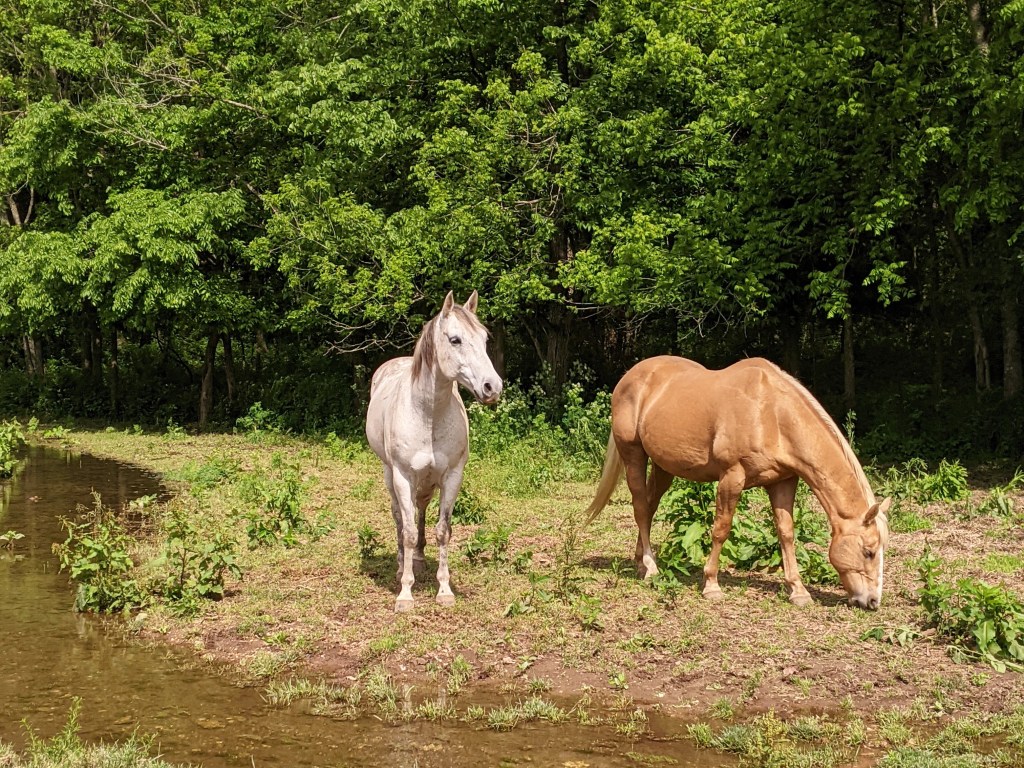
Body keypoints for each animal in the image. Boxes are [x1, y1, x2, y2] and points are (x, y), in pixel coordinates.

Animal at [365, 291, 502, 612]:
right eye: (455, 340)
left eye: (484, 339)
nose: (493, 387)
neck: (427, 414)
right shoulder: (403, 476)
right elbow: (407, 530)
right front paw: (405, 593)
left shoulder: (452, 476)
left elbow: (443, 530)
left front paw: (444, 590)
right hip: (390, 474)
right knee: (399, 517)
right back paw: (401, 564)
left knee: (421, 509)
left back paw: (417, 558)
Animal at [584, 356, 890, 610]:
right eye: (869, 551)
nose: (872, 602)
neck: (771, 413)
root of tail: (630, 376)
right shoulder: (732, 477)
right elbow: (721, 529)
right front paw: (711, 585)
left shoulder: (783, 482)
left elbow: (786, 534)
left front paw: (798, 590)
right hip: (633, 454)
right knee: (639, 507)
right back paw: (651, 567)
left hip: (663, 467)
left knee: (649, 507)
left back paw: (641, 564)